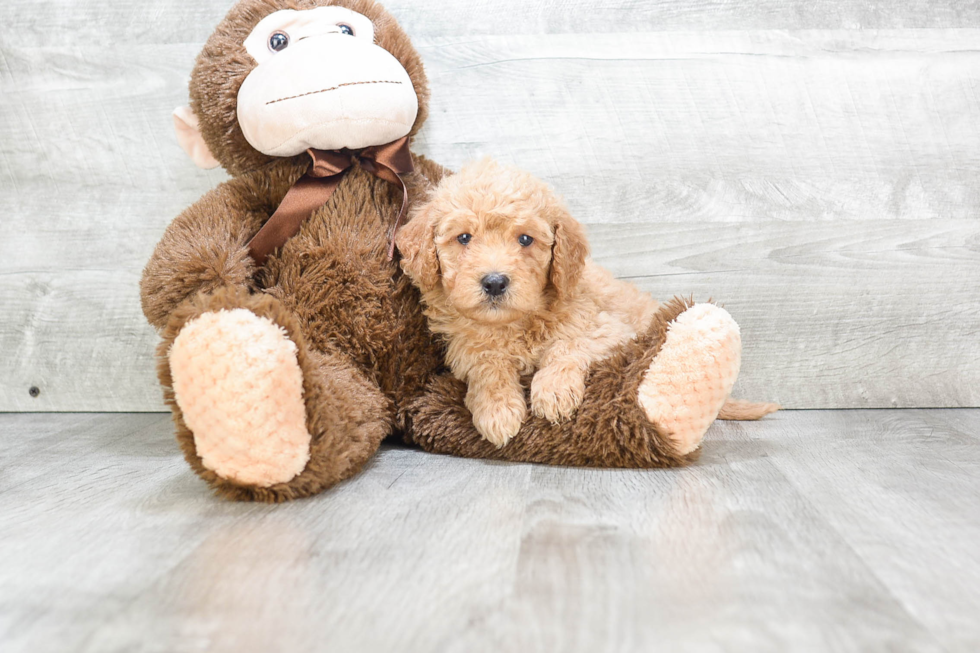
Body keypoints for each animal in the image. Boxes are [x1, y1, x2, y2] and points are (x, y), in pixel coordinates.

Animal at [394, 158, 664, 446]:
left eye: (525, 239)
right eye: (464, 237)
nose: (494, 283)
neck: (514, 323)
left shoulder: (610, 329)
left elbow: (568, 344)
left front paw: (553, 390)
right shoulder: (465, 345)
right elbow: (487, 363)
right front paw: (497, 410)